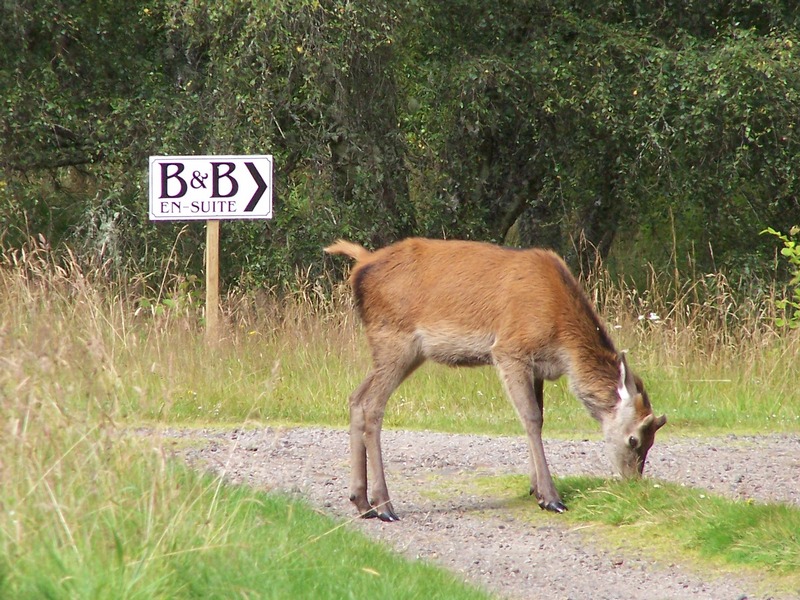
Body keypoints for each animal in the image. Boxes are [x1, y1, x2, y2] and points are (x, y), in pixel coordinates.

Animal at [324, 237, 666, 522]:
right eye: (634, 439)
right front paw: (551, 498)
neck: (561, 337)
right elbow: (530, 417)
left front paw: (535, 489)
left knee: (356, 398)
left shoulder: (537, 368)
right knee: (372, 404)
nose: (633, 483)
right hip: (395, 339)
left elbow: (539, 418)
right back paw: (385, 506)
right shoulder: (509, 350)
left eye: (652, 442)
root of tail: (361, 264)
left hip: (402, 353)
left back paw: (361, 502)